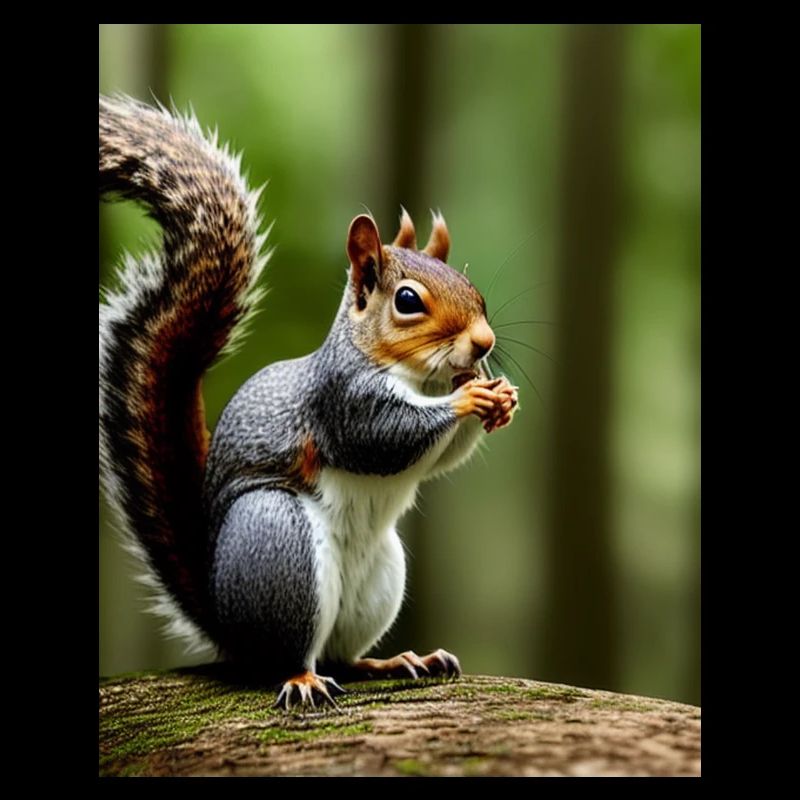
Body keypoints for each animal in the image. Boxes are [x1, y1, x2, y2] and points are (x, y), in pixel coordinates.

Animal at [99, 94, 519, 709]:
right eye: (408, 301)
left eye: (475, 291)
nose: (484, 344)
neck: (419, 379)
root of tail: (225, 623)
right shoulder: (342, 401)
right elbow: (385, 438)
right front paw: (470, 396)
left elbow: (440, 457)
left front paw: (501, 397)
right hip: (279, 544)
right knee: (287, 654)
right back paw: (302, 679)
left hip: (380, 578)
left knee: (342, 652)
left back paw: (394, 660)